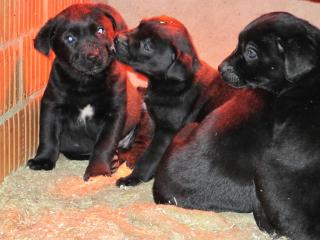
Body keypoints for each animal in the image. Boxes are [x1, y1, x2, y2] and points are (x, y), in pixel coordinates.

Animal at [26, 3, 144, 180]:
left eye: (101, 30)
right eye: (69, 38)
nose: (93, 56)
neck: (87, 81)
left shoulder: (114, 113)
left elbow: (105, 143)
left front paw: (98, 171)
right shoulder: (52, 105)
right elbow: (48, 135)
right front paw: (43, 159)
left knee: (130, 148)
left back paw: (117, 161)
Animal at [114, 15, 239, 187]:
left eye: (147, 46)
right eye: (139, 25)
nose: (117, 38)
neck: (172, 83)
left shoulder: (167, 131)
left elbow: (149, 157)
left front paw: (134, 177)